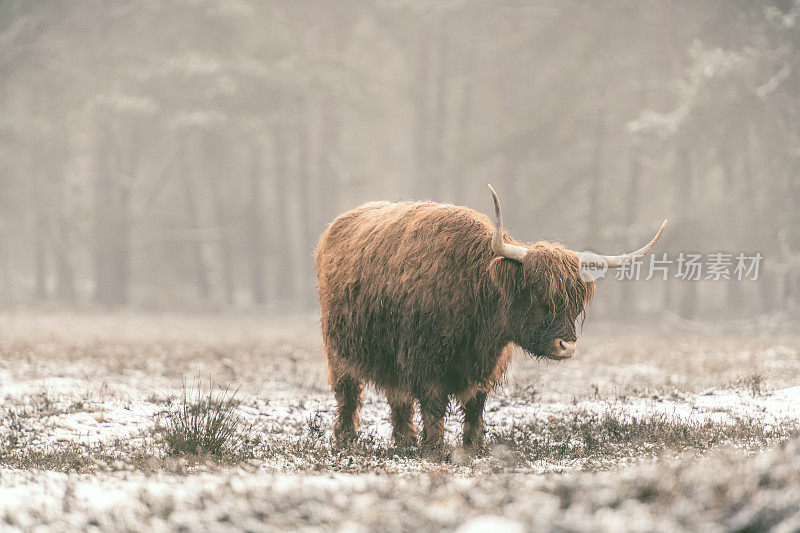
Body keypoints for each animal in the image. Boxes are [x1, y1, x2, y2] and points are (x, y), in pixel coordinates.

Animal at [316, 184, 664, 448]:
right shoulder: (425, 358)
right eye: (538, 294)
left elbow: (475, 405)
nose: (567, 346)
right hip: (339, 348)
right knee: (349, 394)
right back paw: (347, 440)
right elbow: (433, 405)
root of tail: (337, 225)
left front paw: (475, 447)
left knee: (397, 396)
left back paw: (405, 441)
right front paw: (435, 449)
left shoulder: (486, 363)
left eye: (574, 302)